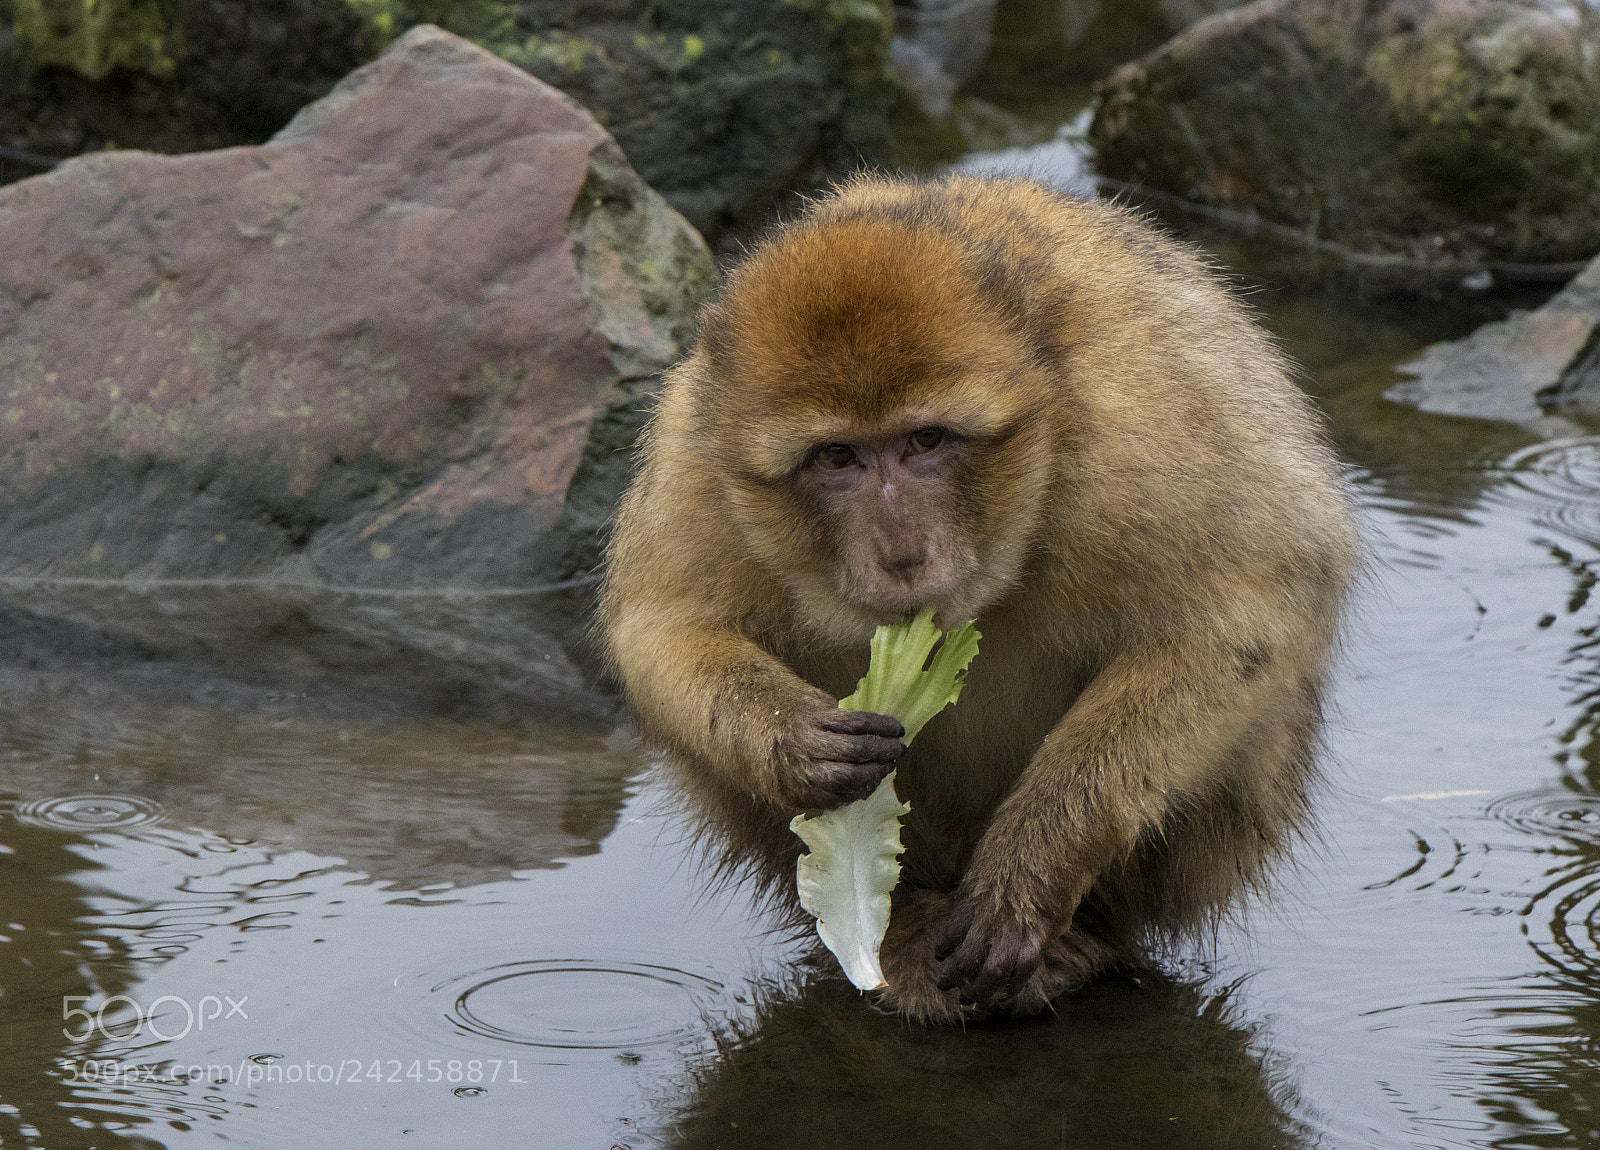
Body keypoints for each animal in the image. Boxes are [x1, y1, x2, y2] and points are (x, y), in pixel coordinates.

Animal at [597, 174, 1358, 1024]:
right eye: (837, 457)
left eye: (925, 440)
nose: (902, 552)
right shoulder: (696, 455)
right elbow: (660, 629)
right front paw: (793, 740)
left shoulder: (1144, 430)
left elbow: (1246, 609)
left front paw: (1032, 865)